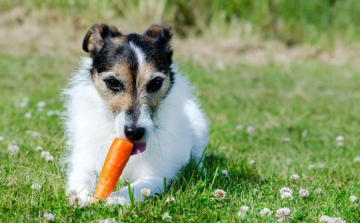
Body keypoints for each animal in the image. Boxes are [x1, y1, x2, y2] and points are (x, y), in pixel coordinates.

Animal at [63, 23, 207, 205]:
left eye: (156, 83)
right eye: (112, 82)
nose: (134, 132)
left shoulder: (156, 176)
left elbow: (133, 189)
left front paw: (113, 199)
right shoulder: (85, 162)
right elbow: (81, 179)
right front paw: (82, 198)